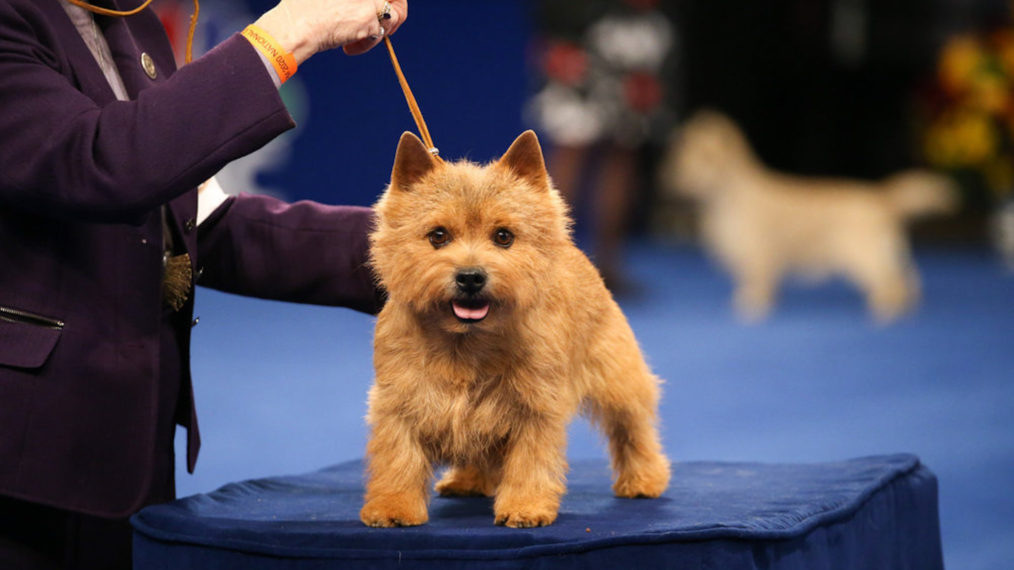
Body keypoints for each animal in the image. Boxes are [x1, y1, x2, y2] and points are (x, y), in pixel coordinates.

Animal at [360, 129, 669, 527]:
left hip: (617, 376)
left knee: (632, 427)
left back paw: (644, 479)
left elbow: (530, 462)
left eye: (503, 236)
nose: (470, 277)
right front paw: (392, 507)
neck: (467, 344)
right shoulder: (399, 402)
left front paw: (525, 506)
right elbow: (398, 458)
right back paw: (467, 480)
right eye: (438, 235)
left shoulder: (536, 407)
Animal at [661, 110, 953, 322]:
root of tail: (882, 197)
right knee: (908, 277)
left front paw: (751, 306)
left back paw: (885, 311)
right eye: (681, 158)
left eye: (706, 158)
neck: (725, 197)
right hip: (887, 251)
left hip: (863, 254)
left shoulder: (758, 253)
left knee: (891, 282)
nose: (673, 179)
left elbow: (756, 283)